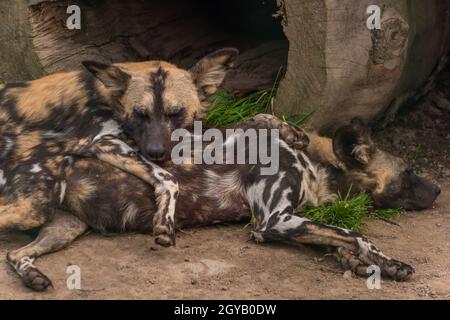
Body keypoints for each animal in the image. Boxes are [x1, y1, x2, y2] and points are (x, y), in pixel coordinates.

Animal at [0, 47, 239, 245]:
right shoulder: (101, 141)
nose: (155, 151)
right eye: (140, 114)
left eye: (175, 113)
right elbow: (169, 178)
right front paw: (164, 222)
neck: (110, 98)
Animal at [1, 114, 442, 290]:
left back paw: (33, 277)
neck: (314, 165)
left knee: (14, 255)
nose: (439, 189)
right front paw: (373, 259)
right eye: (408, 172)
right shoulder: (273, 222)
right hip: (30, 206)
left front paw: (374, 264)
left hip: (64, 226)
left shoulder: (290, 221)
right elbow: (352, 232)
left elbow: (339, 241)